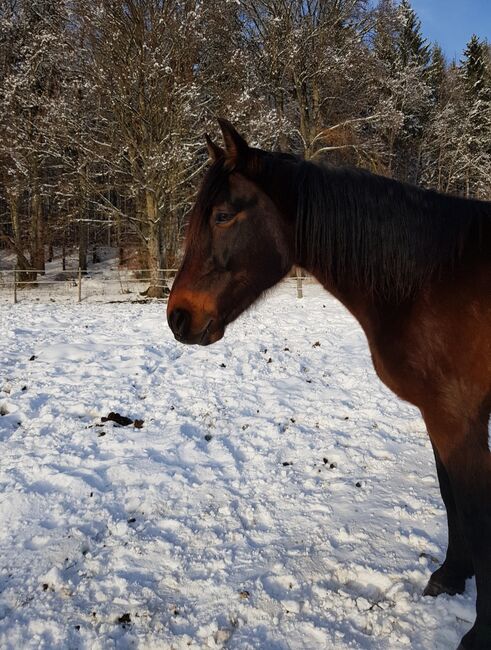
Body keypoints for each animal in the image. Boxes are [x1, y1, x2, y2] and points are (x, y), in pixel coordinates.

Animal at [168, 119, 491, 644]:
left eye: (222, 215)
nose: (178, 318)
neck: (432, 282)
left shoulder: (460, 419)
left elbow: (478, 514)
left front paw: (480, 633)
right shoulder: (441, 417)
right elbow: (451, 498)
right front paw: (449, 576)